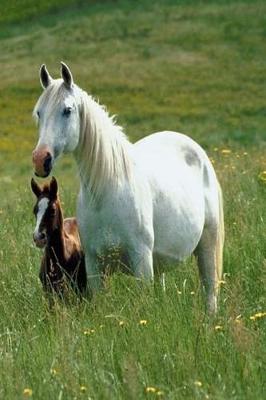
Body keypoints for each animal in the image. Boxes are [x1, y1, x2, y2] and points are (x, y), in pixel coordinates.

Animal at [31, 61, 224, 312]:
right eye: (39, 113)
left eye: (67, 110)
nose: (40, 160)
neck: (106, 192)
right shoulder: (94, 266)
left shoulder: (141, 262)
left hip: (207, 245)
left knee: (210, 292)